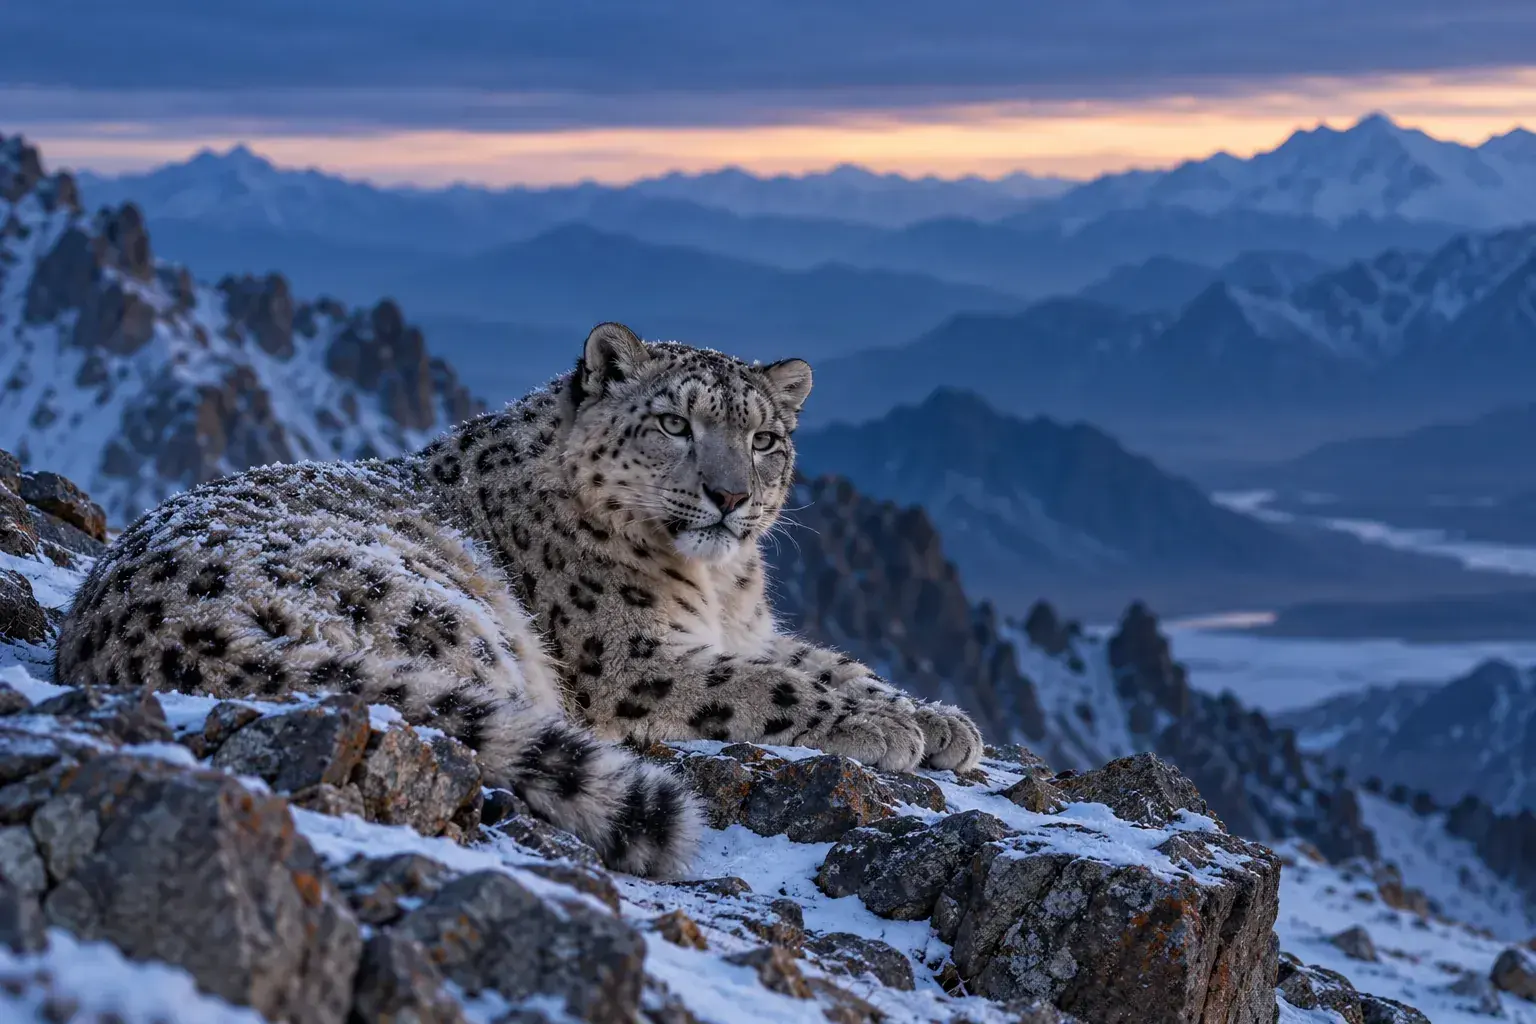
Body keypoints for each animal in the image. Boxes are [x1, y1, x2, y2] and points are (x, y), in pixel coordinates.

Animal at [55, 323, 984, 877]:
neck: (719, 588)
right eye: (673, 424)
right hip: (450, 617)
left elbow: (825, 661)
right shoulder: (628, 658)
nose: (730, 497)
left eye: (764, 439)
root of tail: (168, 637)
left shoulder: (751, 628)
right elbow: (769, 683)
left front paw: (940, 720)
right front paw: (887, 727)